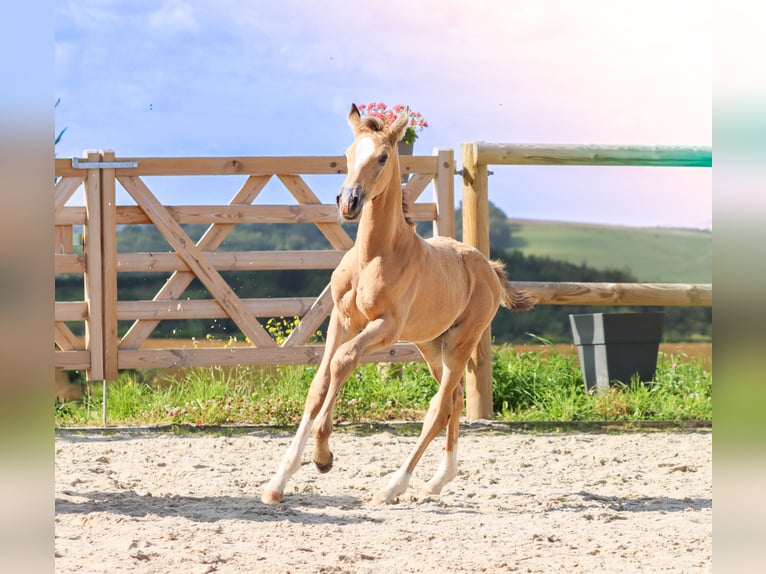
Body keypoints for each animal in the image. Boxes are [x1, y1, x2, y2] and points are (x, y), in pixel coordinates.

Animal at [262, 106, 536, 506]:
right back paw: (437, 481)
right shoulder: (341, 320)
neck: (375, 255)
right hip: (431, 344)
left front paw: (323, 455)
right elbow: (319, 384)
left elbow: (344, 360)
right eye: (347, 154)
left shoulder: (385, 328)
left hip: (461, 342)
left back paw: (393, 487)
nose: (348, 202)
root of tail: (487, 266)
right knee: (453, 399)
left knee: (438, 408)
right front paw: (278, 482)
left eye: (382, 157)